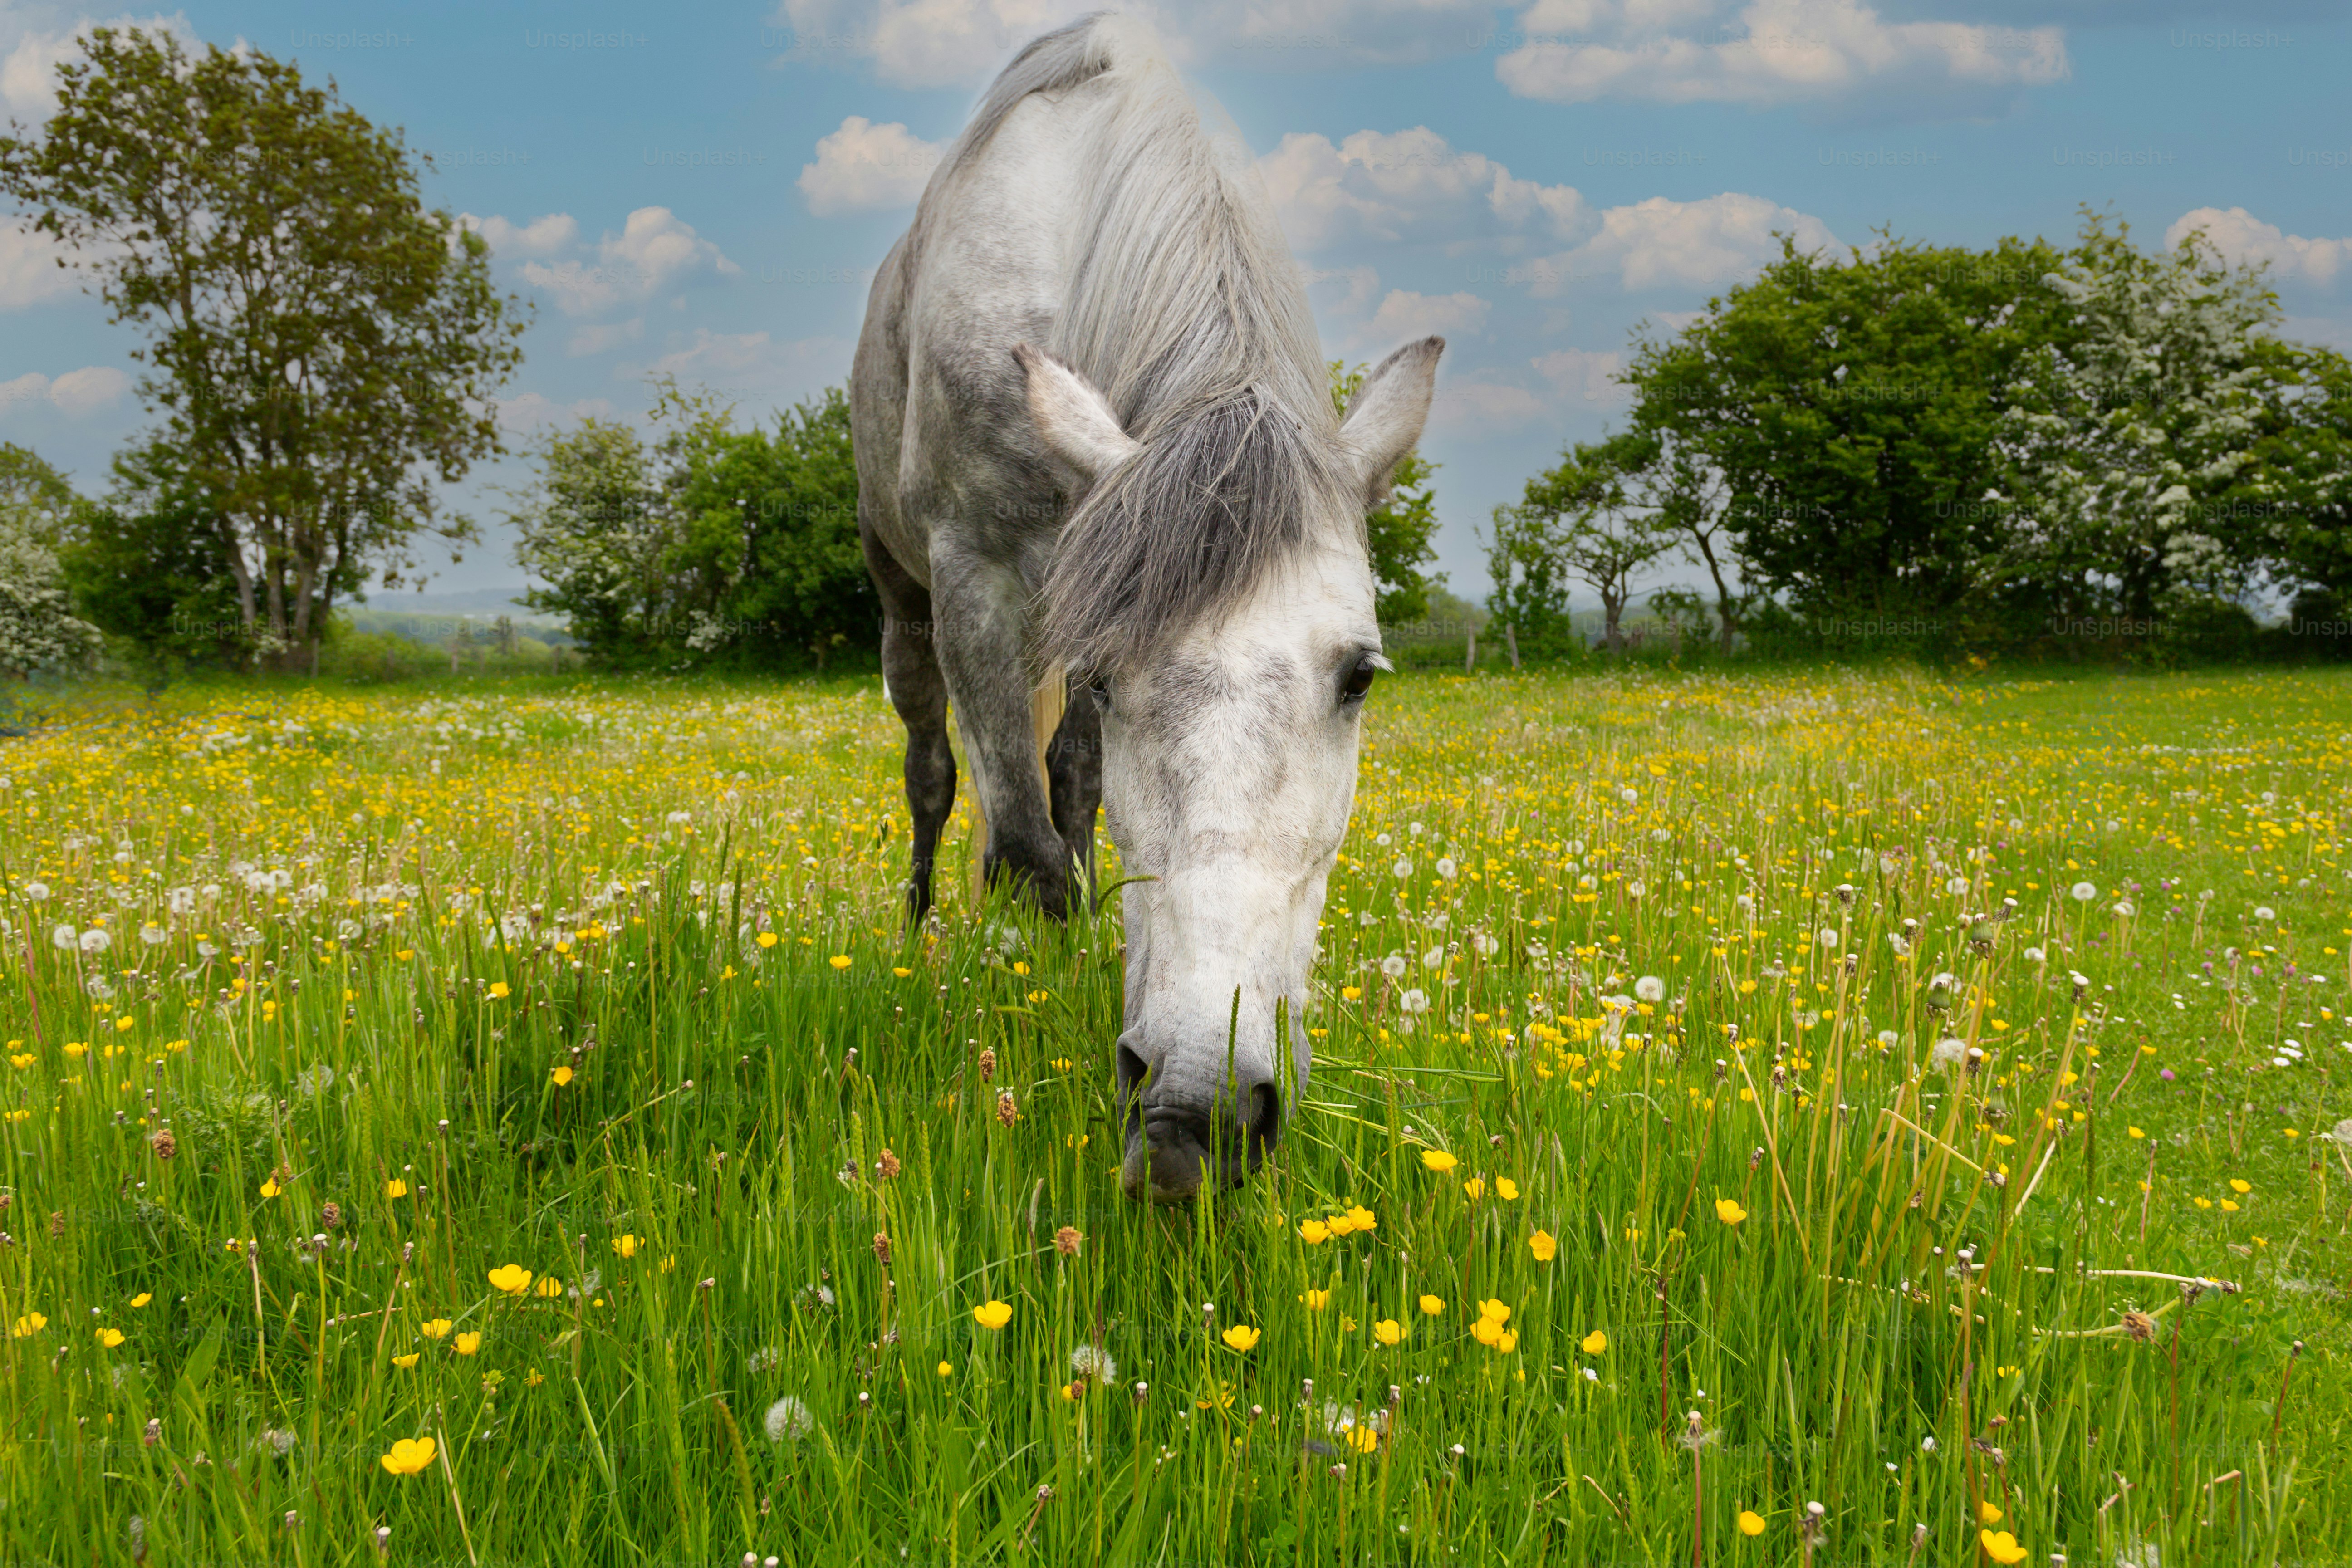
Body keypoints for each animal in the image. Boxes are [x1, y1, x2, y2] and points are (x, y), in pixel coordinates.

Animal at [850, 13, 1442, 1204]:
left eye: (1359, 676)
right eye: (1115, 676)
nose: (1195, 1113)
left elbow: (1070, 811)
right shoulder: (978, 581)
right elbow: (1025, 854)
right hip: (904, 597)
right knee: (936, 776)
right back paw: (919, 931)